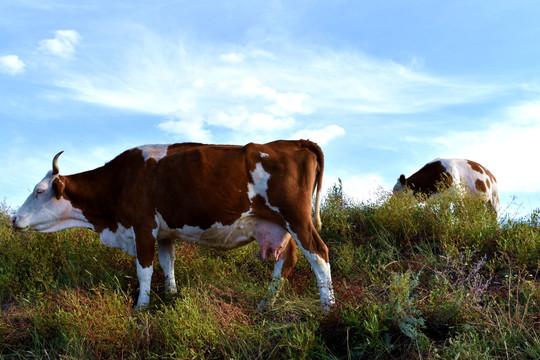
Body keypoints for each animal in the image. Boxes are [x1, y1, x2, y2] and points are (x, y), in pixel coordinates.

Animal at [11, 140, 334, 310]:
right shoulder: (164, 233)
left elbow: (144, 270)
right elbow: (168, 265)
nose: (14, 218)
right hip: (279, 226)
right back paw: (265, 305)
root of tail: (293, 143)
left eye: (39, 191)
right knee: (286, 262)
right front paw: (171, 297)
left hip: (297, 219)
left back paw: (327, 307)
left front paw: (141, 307)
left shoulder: (142, 227)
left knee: (319, 255)